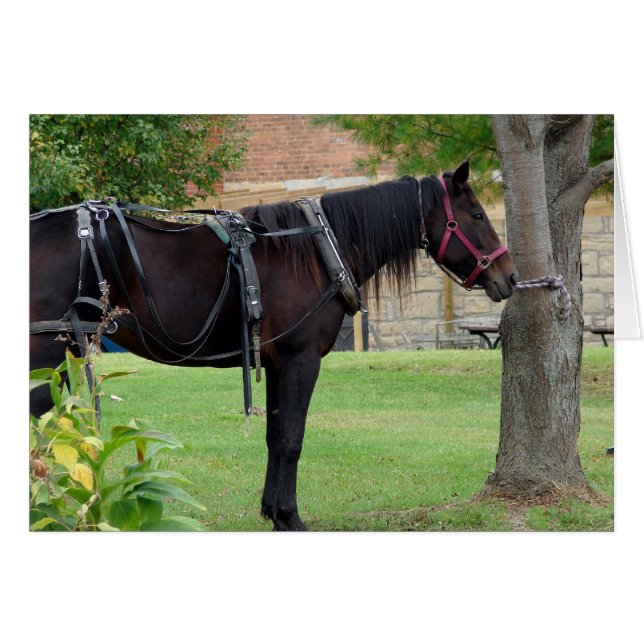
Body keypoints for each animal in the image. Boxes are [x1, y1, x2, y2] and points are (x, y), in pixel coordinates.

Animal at [29, 161, 517, 530]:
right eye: (477, 215)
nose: (509, 277)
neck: (315, 250)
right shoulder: (301, 361)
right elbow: (291, 438)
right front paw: (290, 516)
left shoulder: (278, 363)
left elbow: (274, 436)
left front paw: (272, 511)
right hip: (46, 358)